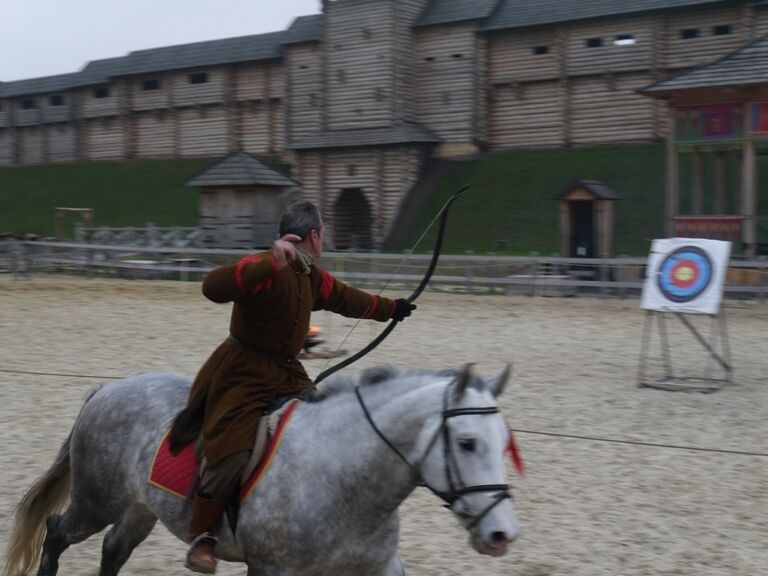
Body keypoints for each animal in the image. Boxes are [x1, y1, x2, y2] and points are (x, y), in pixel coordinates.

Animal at [3, 364, 520, 576]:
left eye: (505, 442)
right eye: (467, 442)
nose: (502, 535)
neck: (344, 476)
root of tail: (107, 390)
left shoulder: (379, 567)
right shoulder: (269, 568)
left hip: (139, 508)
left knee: (113, 550)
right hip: (97, 502)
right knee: (56, 531)